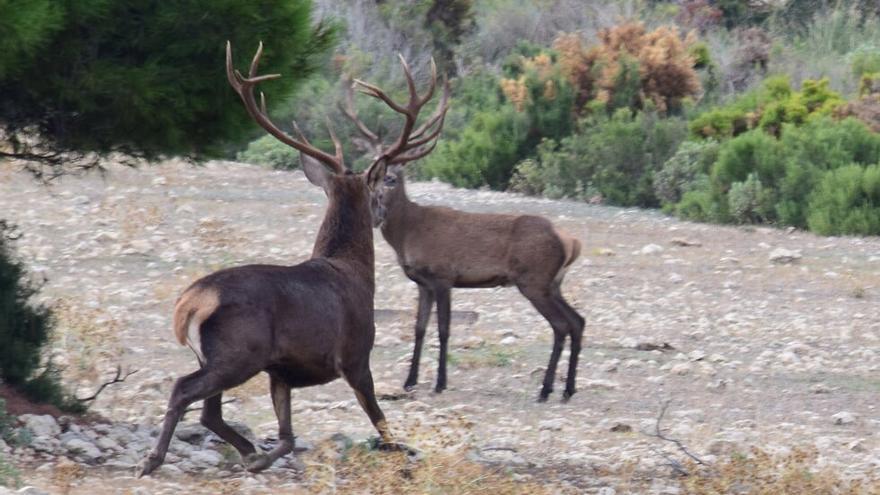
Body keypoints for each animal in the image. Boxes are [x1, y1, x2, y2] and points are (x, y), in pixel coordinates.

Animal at [138, 44, 446, 478]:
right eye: (375, 192)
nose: (382, 213)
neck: (354, 272)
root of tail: (190, 303)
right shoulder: (355, 354)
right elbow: (382, 423)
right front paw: (404, 458)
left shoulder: (281, 371)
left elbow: (287, 435)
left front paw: (263, 456)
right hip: (240, 350)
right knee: (184, 389)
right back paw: (153, 459)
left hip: (228, 355)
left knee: (209, 412)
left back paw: (247, 451)